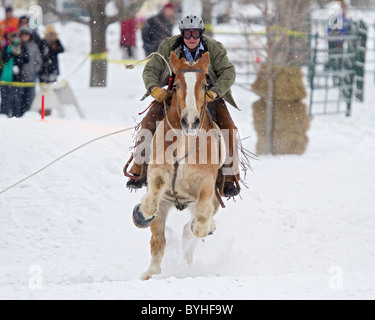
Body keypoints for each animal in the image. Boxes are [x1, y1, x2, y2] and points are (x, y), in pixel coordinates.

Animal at [132, 52, 226, 280]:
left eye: (204, 85)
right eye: (176, 85)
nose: (190, 121)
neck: (186, 141)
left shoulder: (207, 181)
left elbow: (201, 219)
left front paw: (205, 225)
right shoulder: (158, 168)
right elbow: (156, 188)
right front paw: (143, 210)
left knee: (190, 232)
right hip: (166, 205)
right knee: (158, 238)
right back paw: (151, 272)